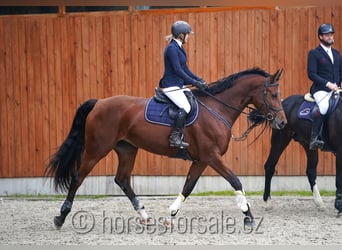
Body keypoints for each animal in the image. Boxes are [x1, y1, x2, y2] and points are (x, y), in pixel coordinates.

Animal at [44, 67, 286, 229]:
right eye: (273, 94)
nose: (282, 123)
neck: (217, 109)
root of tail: (100, 102)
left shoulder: (202, 160)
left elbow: (188, 186)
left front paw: (171, 214)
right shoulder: (212, 156)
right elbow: (236, 181)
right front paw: (248, 215)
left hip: (127, 149)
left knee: (122, 179)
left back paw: (145, 217)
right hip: (97, 148)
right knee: (78, 177)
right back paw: (60, 217)